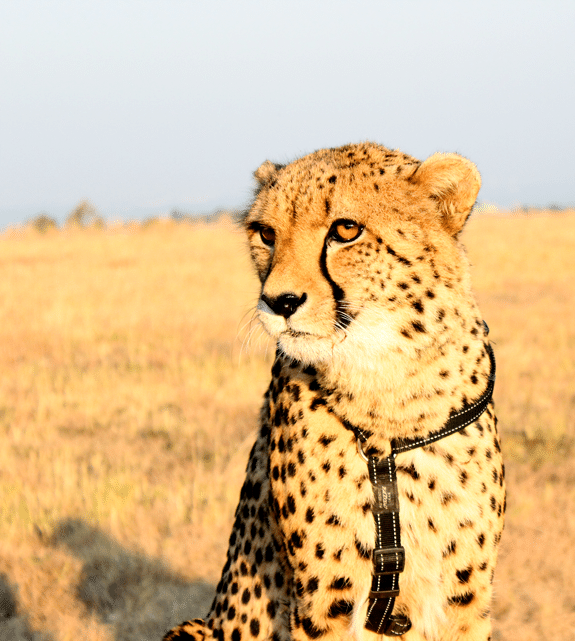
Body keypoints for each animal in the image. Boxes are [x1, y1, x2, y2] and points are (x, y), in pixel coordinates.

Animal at [164, 144, 506, 640]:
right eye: (266, 233)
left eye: (346, 230)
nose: (279, 302)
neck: (391, 394)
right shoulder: (323, 600)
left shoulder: (466, 599)